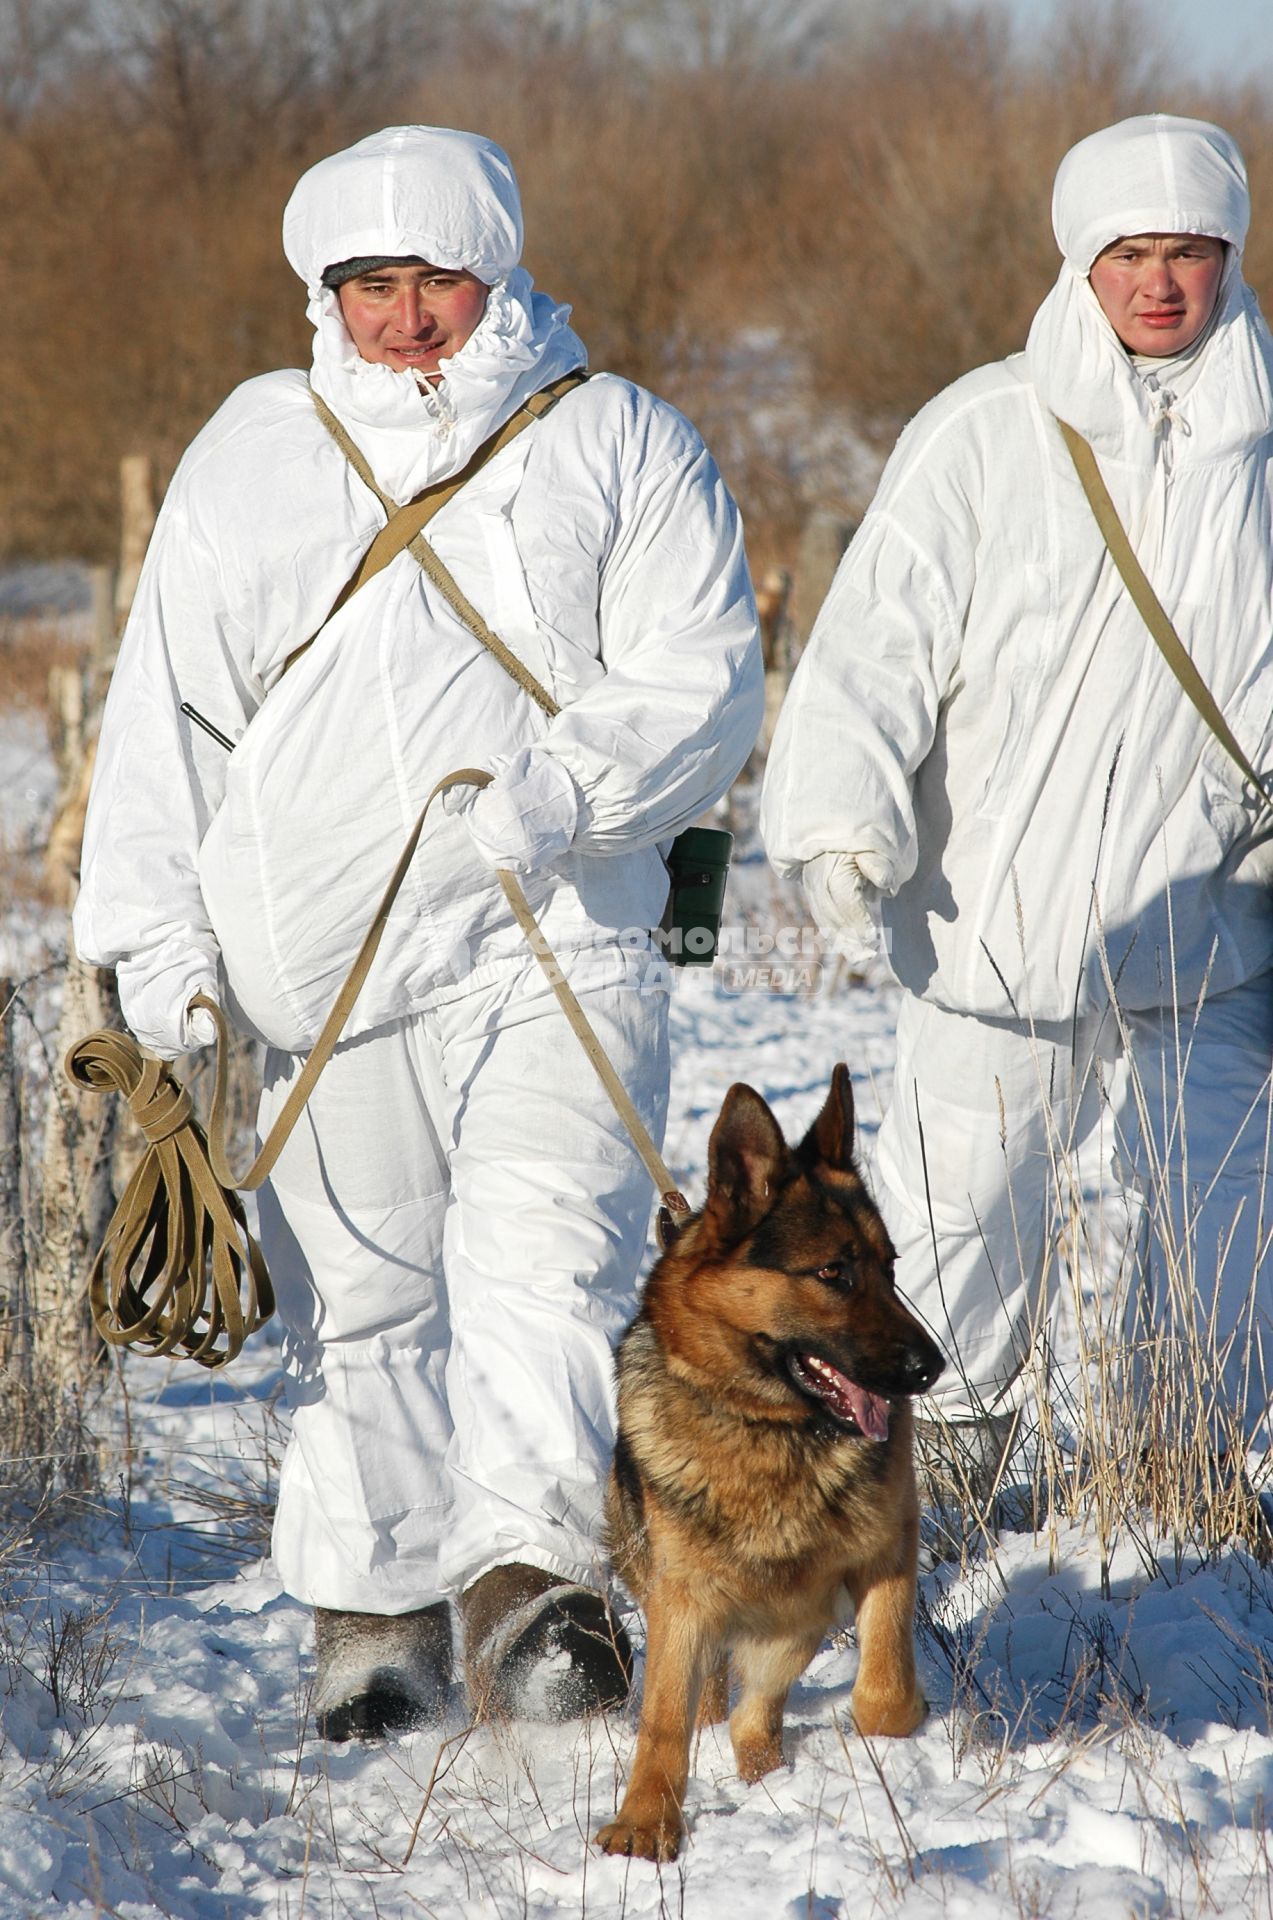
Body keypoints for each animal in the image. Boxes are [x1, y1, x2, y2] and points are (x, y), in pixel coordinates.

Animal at [599, 1067, 944, 1858]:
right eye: (832, 1272)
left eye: (889, 1267)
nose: (929, 1368)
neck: (770, 1431)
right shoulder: (682, 1601)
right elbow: (663, 1722)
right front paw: (645, 1824)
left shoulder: (886, 1547)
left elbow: (883, 1691)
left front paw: (896, 1732)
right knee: (714, 1709)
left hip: (794, 1618)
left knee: (752, 1717)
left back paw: (769, 1780)